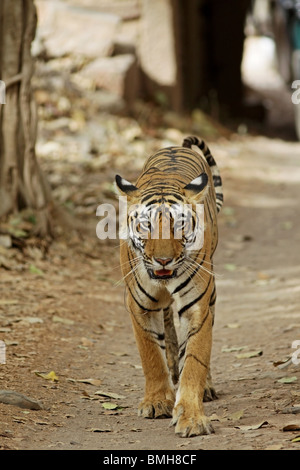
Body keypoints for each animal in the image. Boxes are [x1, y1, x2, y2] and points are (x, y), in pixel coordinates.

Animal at [115, 135, 223, 436]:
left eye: (180, 226)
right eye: (146, 226)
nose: (163, 260)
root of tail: (177, 146)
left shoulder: (197, 307)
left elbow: (195, 359)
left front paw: (192, 417)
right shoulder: (139, 305)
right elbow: (151, 355)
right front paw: (155, 402)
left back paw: (205, 386)